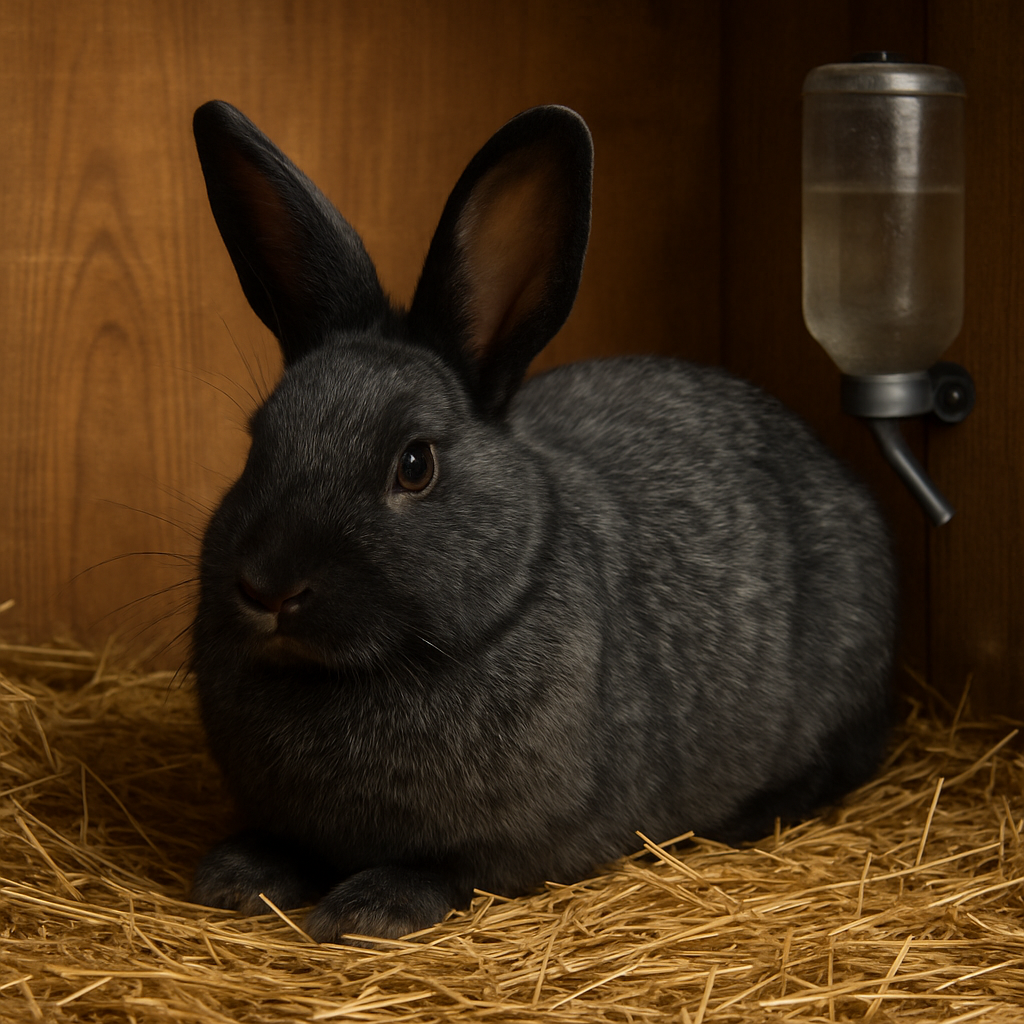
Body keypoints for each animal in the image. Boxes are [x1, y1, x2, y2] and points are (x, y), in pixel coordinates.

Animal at [188, 99, 896, 943]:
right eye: (258, 439)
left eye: (415, 463)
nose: (269, 587)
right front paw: (234, 876)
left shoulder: (522, 841)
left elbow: (452, 869)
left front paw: (368, 908)